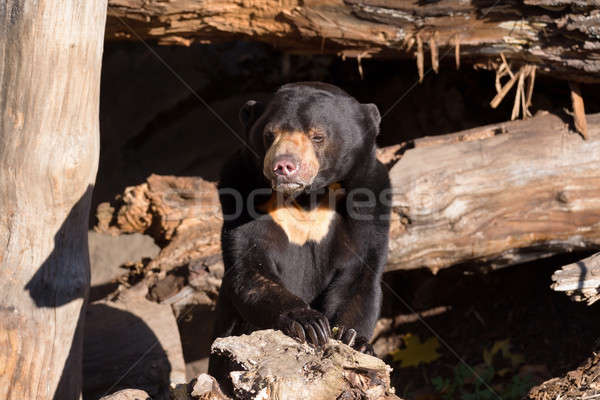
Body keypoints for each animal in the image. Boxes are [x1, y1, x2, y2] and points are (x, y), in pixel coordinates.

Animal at [209, 81, 392, 368]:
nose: (284, 166)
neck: (308, 198)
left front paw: (355, 339)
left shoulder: (369, 201)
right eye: (270, 135)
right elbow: (250, 268)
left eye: (317, 136)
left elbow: (358, 276)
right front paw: (310, 324)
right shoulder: (241, 191)